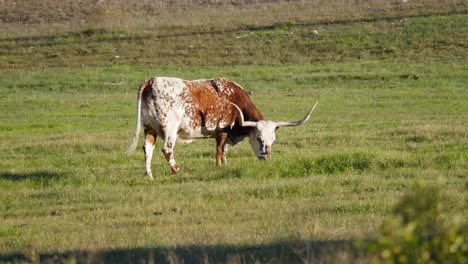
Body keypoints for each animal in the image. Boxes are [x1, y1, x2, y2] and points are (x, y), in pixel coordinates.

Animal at [128, 76, 318, 179]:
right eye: (258, 138)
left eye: (273, 139)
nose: (266, 157)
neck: (234, 99)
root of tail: (151, 80)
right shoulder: (222, 130)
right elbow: (219, 149)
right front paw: (219, 167)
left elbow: (224, 150)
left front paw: (225, 165)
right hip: (170, 130)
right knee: (167, 149)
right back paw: (176, 170)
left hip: (149, 128)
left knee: (147, 149)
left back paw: (149, 175)